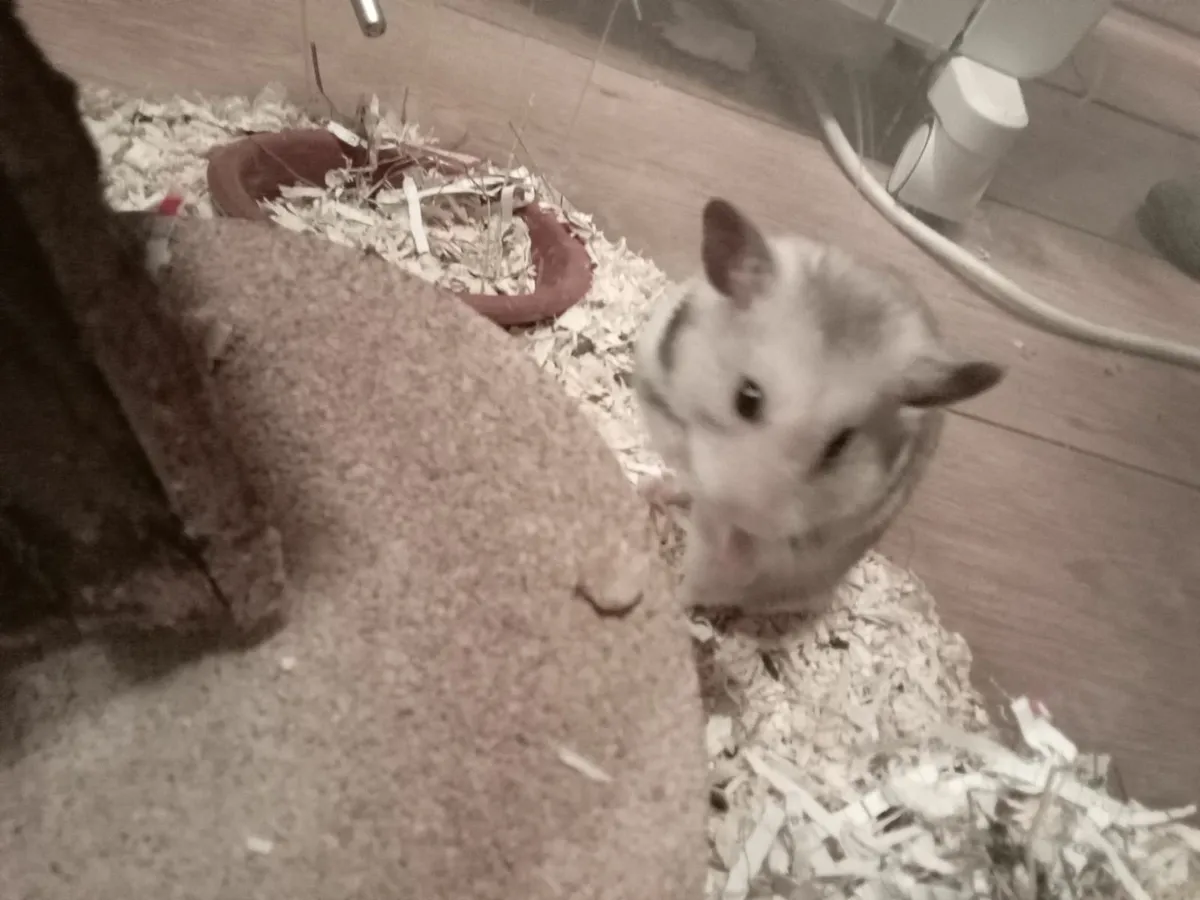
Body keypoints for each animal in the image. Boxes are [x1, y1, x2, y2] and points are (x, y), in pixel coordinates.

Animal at [632, 197, 1006, 614]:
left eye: (839, 446)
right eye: (746, 398)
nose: (741, 515)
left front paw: (731, 542)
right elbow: (683, 461)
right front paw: (658, 491)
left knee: (701, 589)